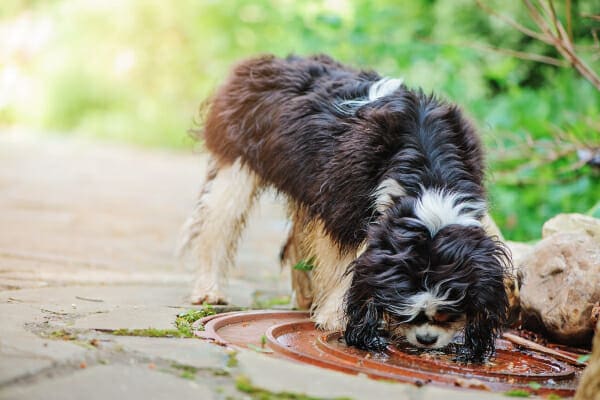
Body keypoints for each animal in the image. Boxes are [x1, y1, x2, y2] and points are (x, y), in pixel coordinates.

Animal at [178, 54, 516, 362]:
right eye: (408, 313)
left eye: (449, 313)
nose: (426, 340)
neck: (428, 173)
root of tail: (266, 61)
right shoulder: (342, 207)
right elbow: (343, 261)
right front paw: (336, 318)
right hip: (237, 165)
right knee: (216, 224)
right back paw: (209, 289)